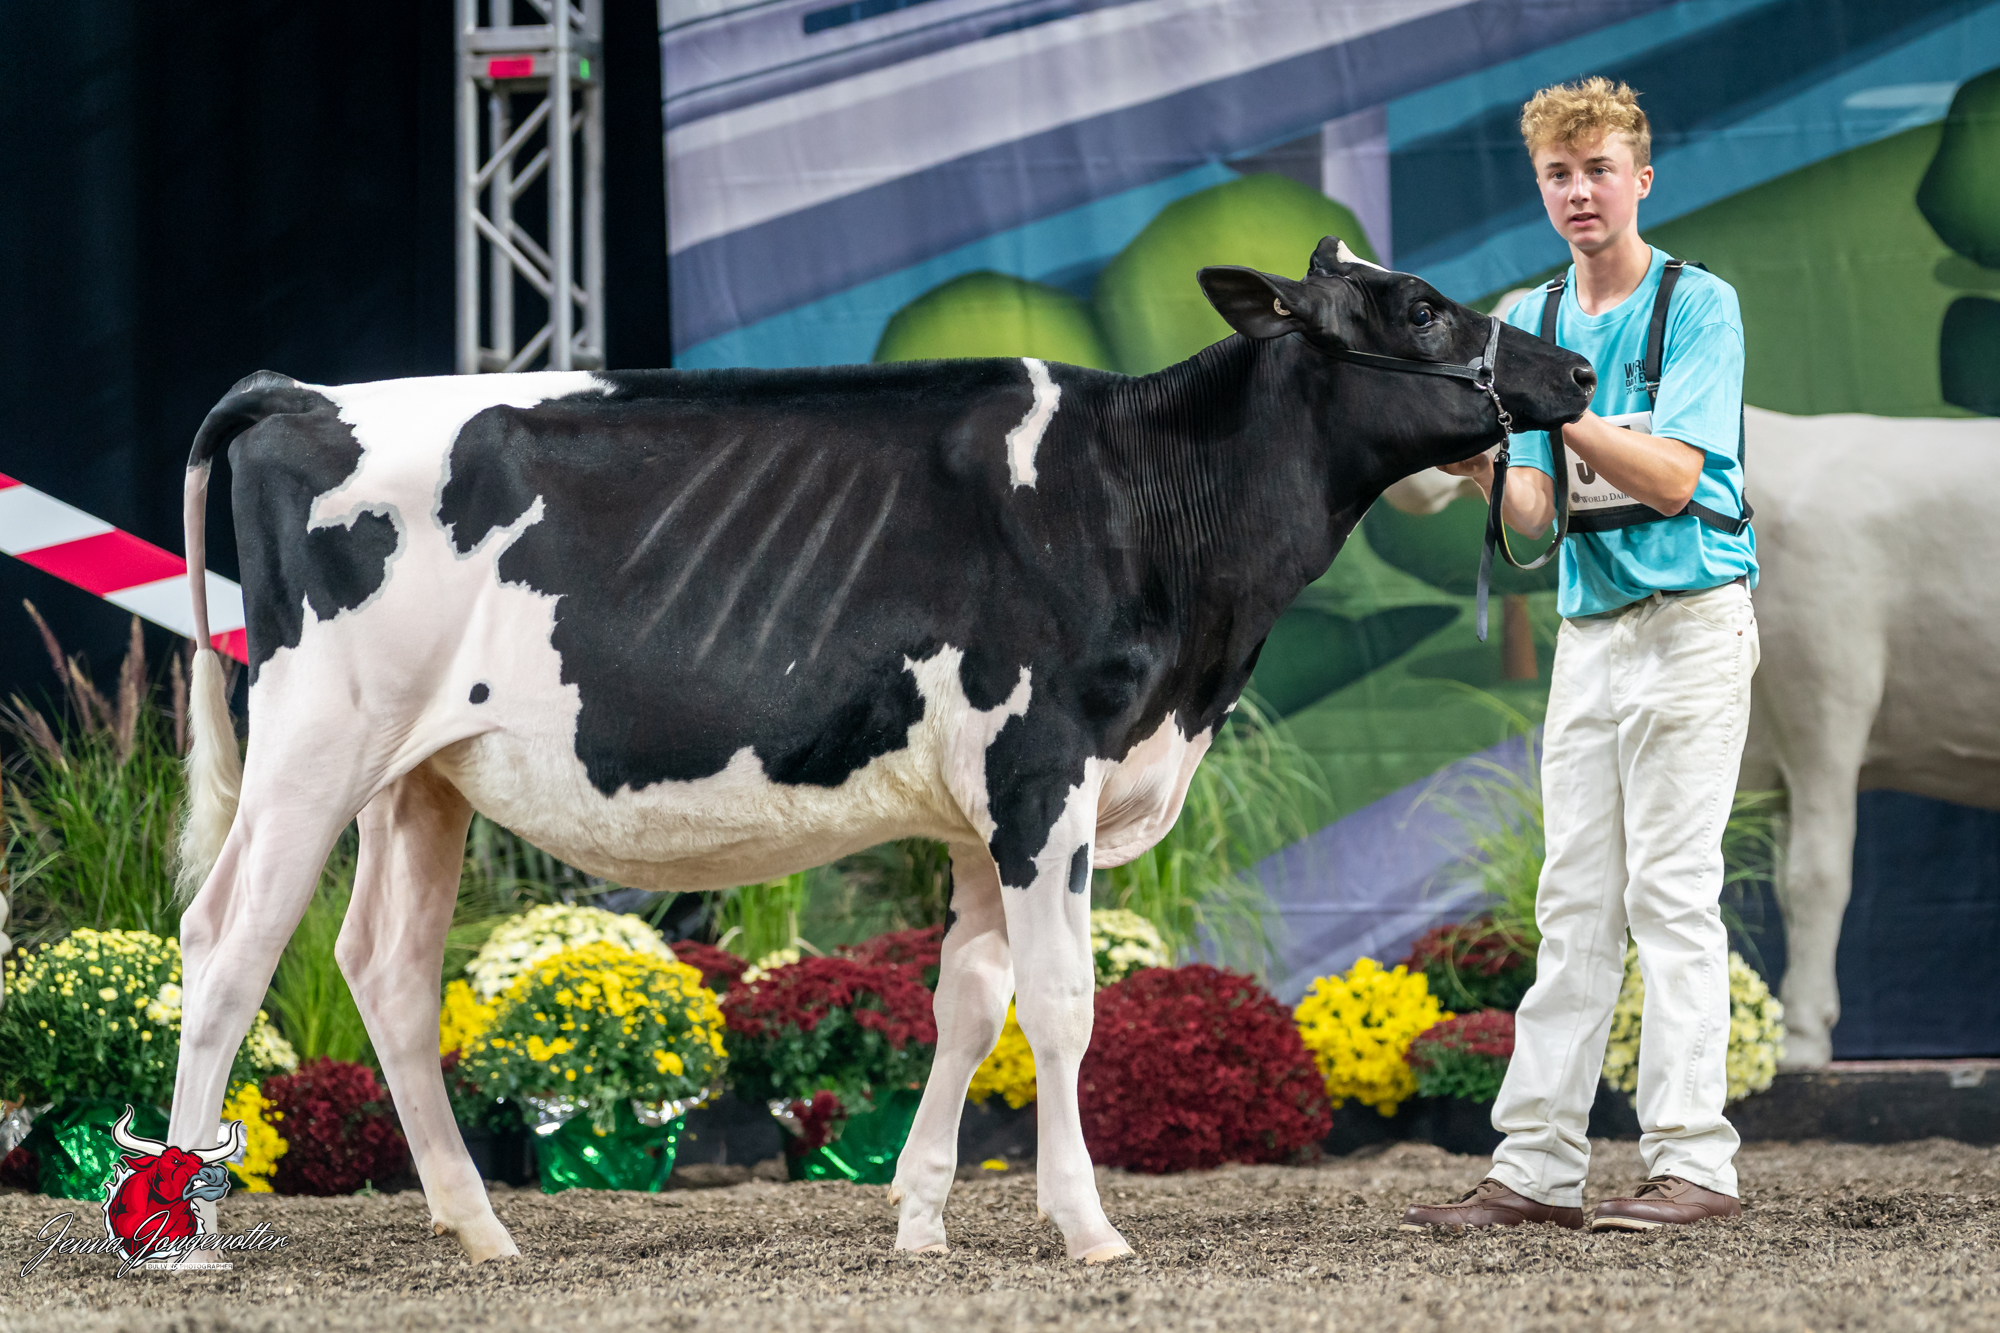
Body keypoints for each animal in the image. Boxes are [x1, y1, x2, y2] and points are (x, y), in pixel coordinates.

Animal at [165, 237, 1592, 1264]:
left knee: (386, 967)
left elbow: (969, 1002)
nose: (1574, 377)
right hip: (313, 745)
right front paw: (1086, 1225)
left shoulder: (980, 814)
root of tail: (300, 394)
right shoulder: (1042, 774)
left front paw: (917, 1216)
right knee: (227, 944)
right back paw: (184, 1231)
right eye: (1416, 308)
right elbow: (1062, 1005)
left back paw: (481, 1229)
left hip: (418, 777)